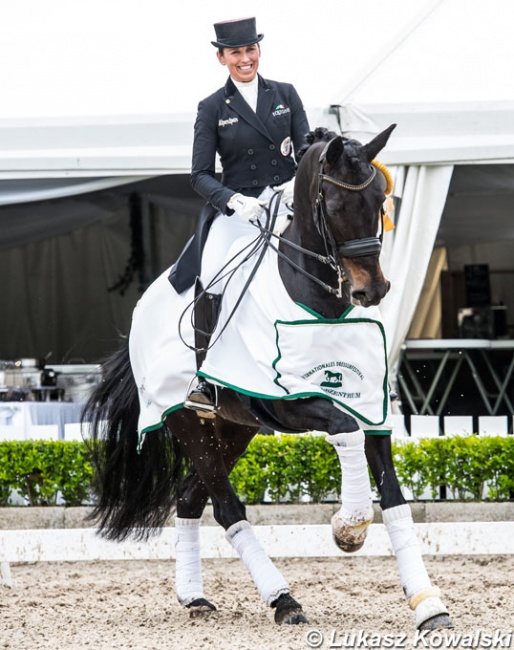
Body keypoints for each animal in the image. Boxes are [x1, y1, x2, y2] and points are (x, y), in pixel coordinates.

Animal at [83, 124, 452, 632]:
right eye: (335, 206)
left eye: (380, 201)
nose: (372, 290)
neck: (322, 304)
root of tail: (141, 315)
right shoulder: (293, 403)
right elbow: (344, 429)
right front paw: (348, 528)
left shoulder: (372, 412)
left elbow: (395, 498)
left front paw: (428, 604)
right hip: (186, 419)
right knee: (226, 507)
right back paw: (283, 599)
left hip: (233, 428)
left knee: (189, 498)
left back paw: (194, 596)